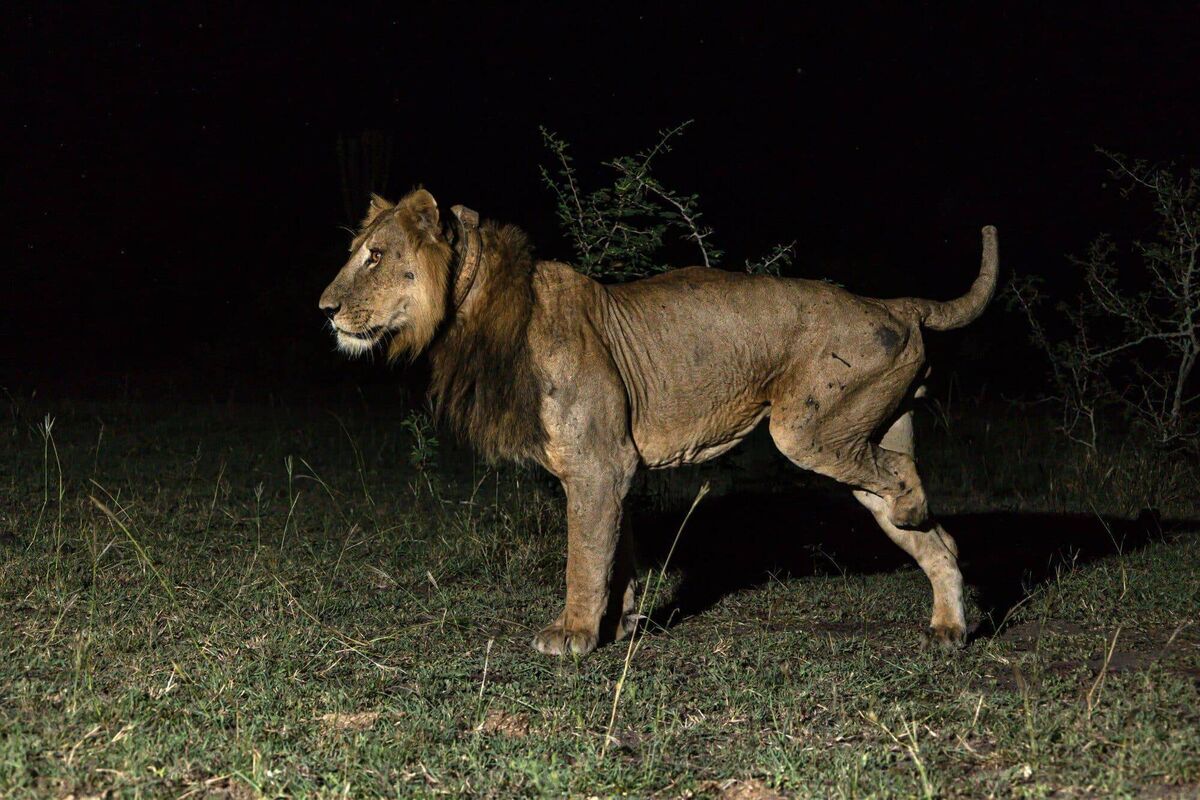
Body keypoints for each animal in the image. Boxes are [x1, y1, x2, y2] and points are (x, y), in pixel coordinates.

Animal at [319, 189, 998, 656]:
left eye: (375, 257)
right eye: (357, 253)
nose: (324, 309)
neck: (474, 310)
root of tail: (892, 303)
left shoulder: (599, 464)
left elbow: (584, 555)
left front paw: (572, 634)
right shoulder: (613, 468)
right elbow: (615, 551)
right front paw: (618, 624)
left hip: (807, 429)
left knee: (903, 481)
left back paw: (916, 514)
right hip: (861, 433)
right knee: (937, 538)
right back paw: (948, 627)